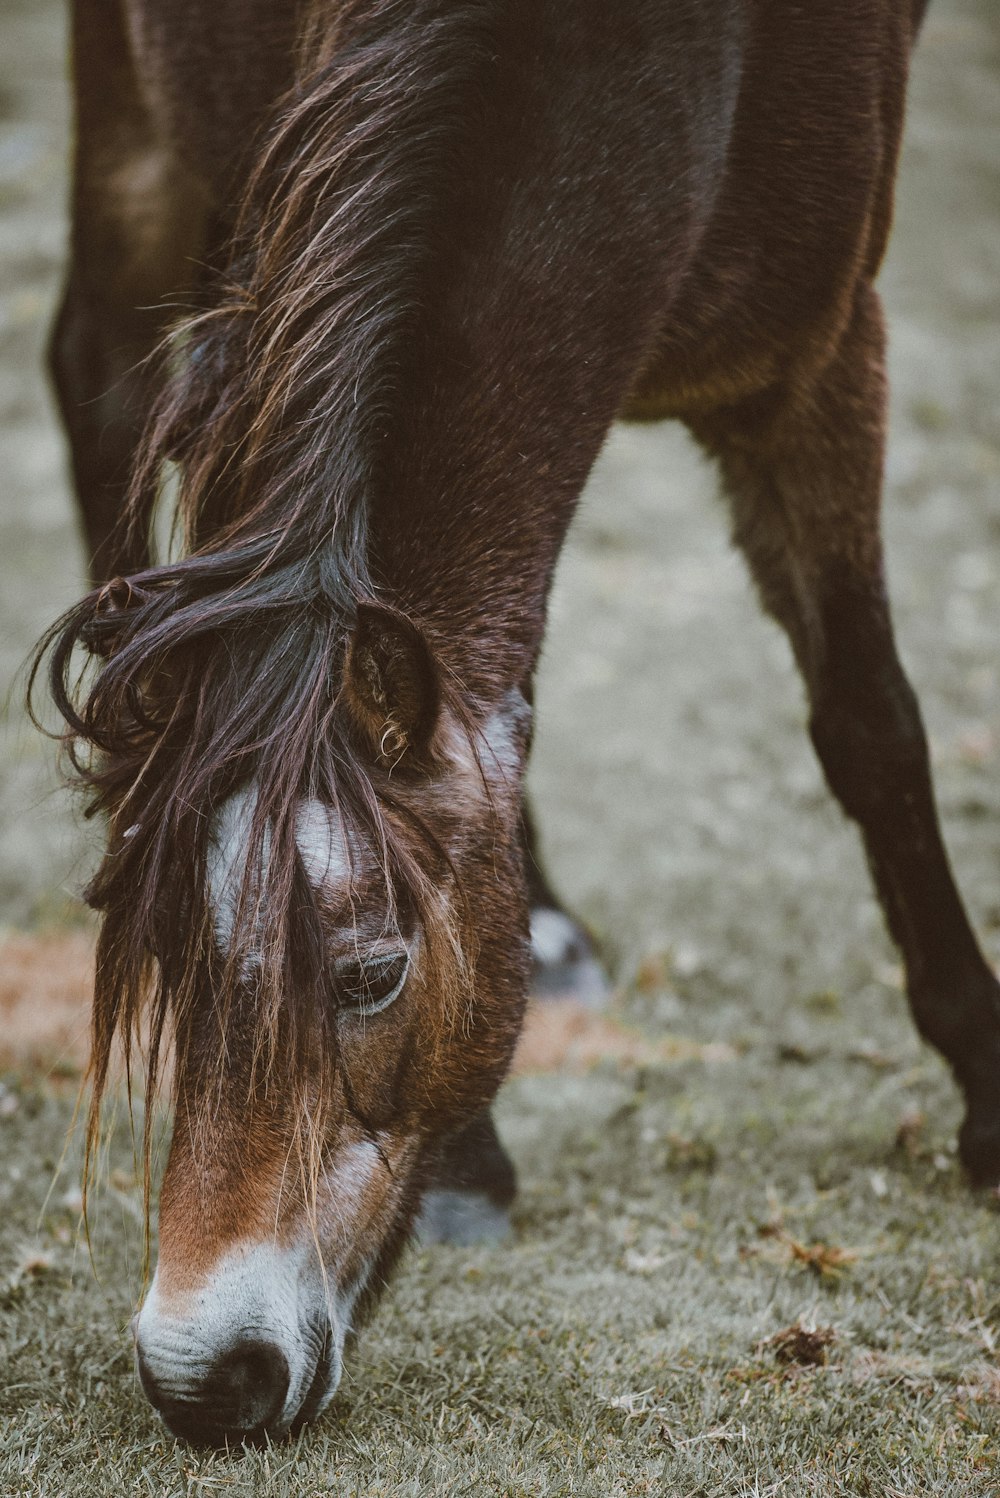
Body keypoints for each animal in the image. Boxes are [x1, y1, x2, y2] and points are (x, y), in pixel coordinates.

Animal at [35, 0, 994, 1450]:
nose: (202, 1380)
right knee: (97, 368)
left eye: (374, 972)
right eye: (161, 961)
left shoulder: (824, 363)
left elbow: (872, 730)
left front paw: (988, 1093)